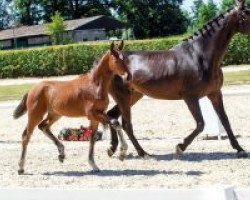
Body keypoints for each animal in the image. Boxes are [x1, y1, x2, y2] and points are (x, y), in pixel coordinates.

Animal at [12, 41, 128, 174]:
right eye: (115, 59)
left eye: (124, 58)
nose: (127, 75)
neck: (95, 85)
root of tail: (32, 89)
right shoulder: (92, 114)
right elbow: (115, 122)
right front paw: (121, 152)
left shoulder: (96, 116)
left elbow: (93, 138)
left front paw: (93, 164)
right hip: (35, 115)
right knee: (26, 135)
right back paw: (21, 168)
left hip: (55, 114)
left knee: (43, 126)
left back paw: (61, 153)